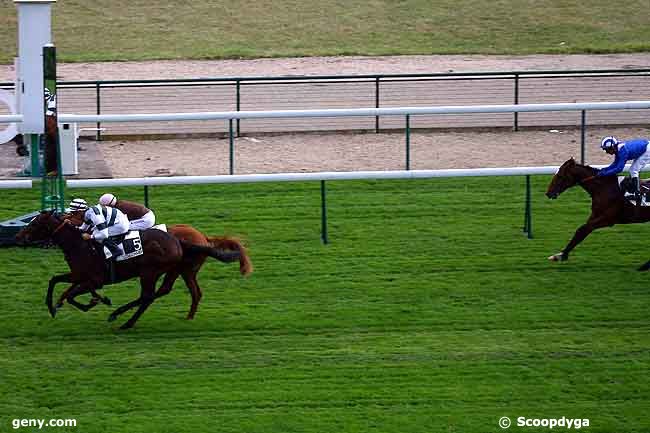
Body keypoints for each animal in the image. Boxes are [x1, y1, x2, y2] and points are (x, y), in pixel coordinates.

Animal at [15, 210, 243, 328]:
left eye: (34, 224)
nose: (18, 236)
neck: (79, 245)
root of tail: (181, 241)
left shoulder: (93, 279)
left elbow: (73, 294)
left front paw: (97, 301)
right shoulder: (79, 275)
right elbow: (55, 281)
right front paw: (53, 306)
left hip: (150, 272)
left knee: (148, 296)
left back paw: (123, 320)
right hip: (174, 270)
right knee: (165, 293)